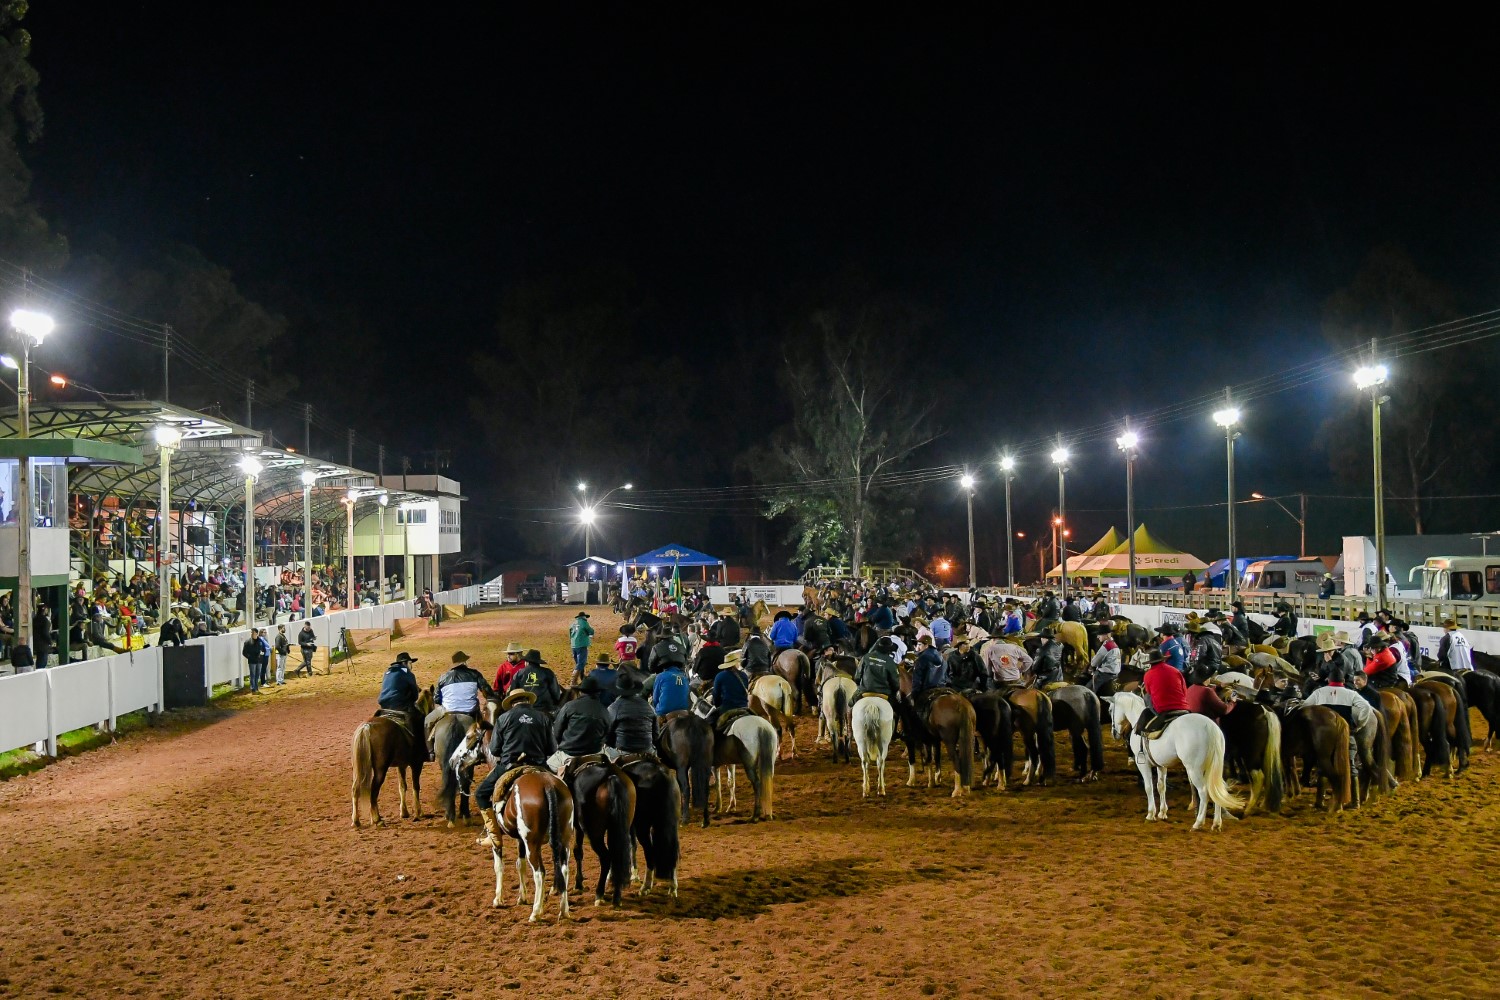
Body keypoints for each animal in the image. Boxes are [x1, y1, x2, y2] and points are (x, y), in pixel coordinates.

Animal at [352, 689, 438, 827]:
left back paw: (356, 820)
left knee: (356, 789)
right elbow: (415, 786)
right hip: (380, 769)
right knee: (373, 791)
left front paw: (404, 812)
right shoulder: (417, 764)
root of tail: (367, 726)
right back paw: (377, 819)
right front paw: (419, 812)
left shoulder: (401, 765)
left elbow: (402, 786)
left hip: (358, 769)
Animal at [564, 761, 633, 911]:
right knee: (617, 856)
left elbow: (578, 851)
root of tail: (611, 776)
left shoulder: (579, 828)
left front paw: (578, 884)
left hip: (595, 833)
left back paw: (599, 894)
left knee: (606, 857)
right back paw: (616, 897)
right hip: (619, 829)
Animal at [618, 758, 684, 899]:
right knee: (672, 850)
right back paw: (673, 887)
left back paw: (646, 886)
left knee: (650, 853)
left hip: (643, 826)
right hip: (671, 825)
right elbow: (632, 846)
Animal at [894, 668, 978, 803]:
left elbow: (914, 760)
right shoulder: (933, 740)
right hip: (969, 738)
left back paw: (957, 791)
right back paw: (966, 787)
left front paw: (911, 781)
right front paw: (935, 780)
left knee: (957, 761)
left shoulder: (912, 739)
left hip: (949, 741)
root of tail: (960, 704)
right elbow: (934, 758)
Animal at [1110, 692, 1248, 833]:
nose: (1114, 733)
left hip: (1194, 769)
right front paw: (1162, 813)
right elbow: (1161, 786)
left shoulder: (1143, 764)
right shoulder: (1161, 765)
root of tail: (1210, 727)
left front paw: (1151, 814)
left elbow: (1149, 787)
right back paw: (1216, 823)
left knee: (1204, 792)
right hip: (1211, 768)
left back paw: (1198, 823)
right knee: (1215, 790)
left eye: (1110, 710)